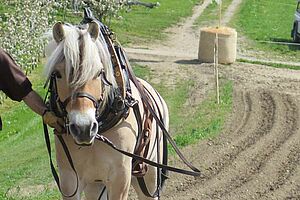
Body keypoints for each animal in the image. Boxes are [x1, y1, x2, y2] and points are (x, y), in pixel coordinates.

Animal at [43, 20, 169, 200]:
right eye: (57, 74)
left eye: (99, 72)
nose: (83, 128)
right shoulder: (70, 179)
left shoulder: (120, 178)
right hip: (95, 184)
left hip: (149, 173)